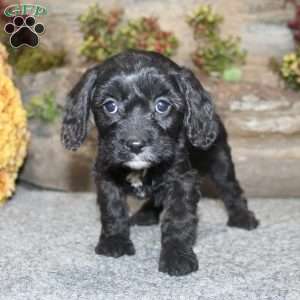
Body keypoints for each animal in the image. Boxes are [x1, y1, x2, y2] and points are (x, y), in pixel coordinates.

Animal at [61, 49, 258, 276]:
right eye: (110, 106)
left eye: (162, 105)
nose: (135, 145)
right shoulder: (106, 177)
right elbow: (112, 210)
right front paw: (114, 241)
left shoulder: (182, 181)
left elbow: (178, 219)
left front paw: (177, 256)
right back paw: (146, 215)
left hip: (220, 161)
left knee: (231, 189)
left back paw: (242, 217)